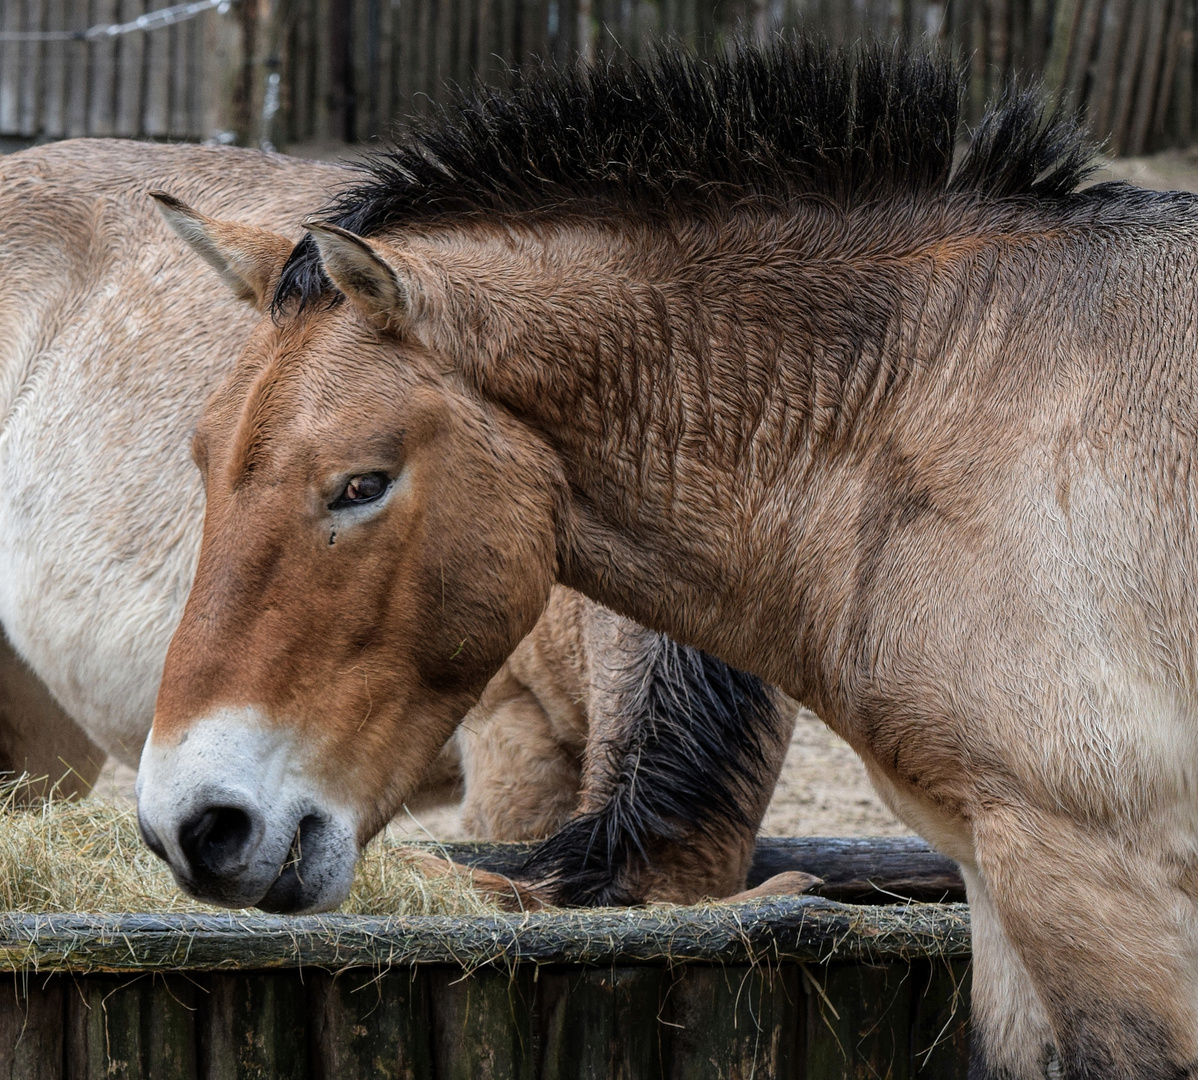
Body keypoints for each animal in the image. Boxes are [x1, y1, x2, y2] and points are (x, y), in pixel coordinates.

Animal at [140, 46, 1198, 1077]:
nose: (191, 823)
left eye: (361, 483)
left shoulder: (1093, 880)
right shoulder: (994, 874)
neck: (948, 388)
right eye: (201, 455)